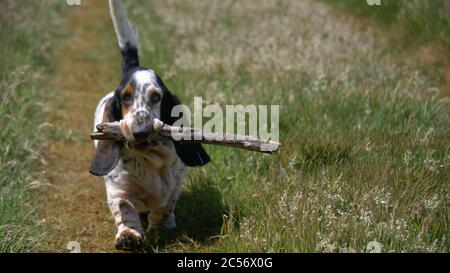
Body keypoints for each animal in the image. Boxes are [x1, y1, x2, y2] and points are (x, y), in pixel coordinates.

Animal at [91, 0, 213, 250]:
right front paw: (128, 235)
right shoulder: (118, 190)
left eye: (156, 97)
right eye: (125, 98)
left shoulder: (174, 185)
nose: (140, 131)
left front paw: (160, 227)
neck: (149, 158)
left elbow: (165, 206)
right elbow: (125, 209)